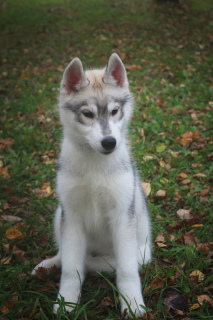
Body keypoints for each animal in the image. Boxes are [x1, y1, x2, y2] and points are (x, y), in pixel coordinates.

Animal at [32, 52, 151, 318]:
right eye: (88, 114)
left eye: (115, 111)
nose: (109, 142)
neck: (96, 165)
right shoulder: (72, 216)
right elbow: (70, 268)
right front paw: (66, 301)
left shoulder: (123, 217)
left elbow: (127, 270)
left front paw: (132, 303)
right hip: (60, 214)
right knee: (65, 255)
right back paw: (50, 265)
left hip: (141, 251)